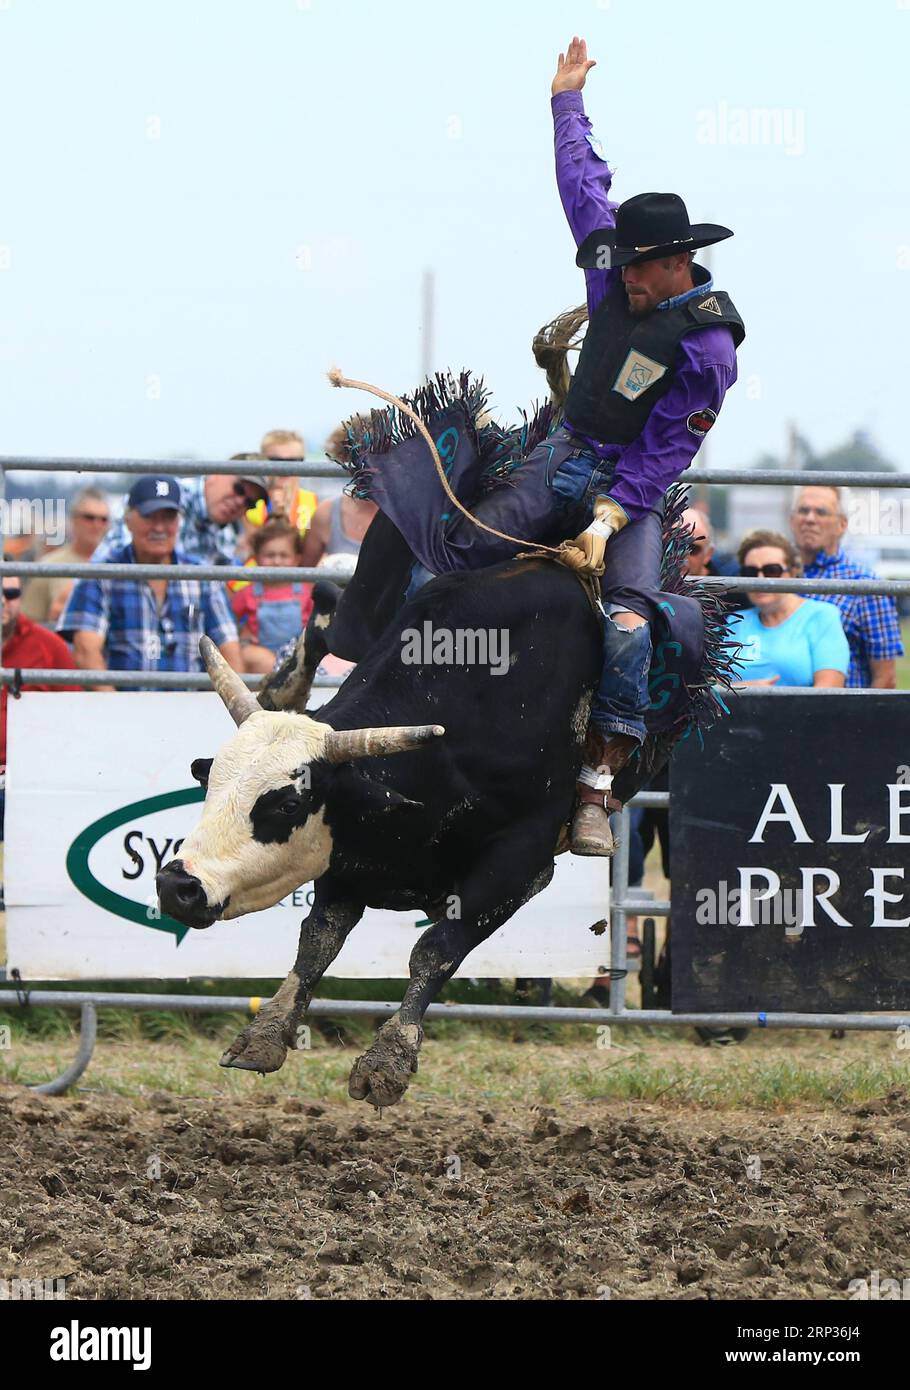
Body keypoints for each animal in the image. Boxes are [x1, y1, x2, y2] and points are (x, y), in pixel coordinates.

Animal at [156, 556, 627, 1106]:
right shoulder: (345, 853)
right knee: (331, 614)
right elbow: (317, 941)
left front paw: (389, 1059)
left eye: (289, 803)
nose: (176, 885)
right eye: (210, 786)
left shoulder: (522, 858)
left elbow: (436, 948)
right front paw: (264, 1034)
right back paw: (284, 680)